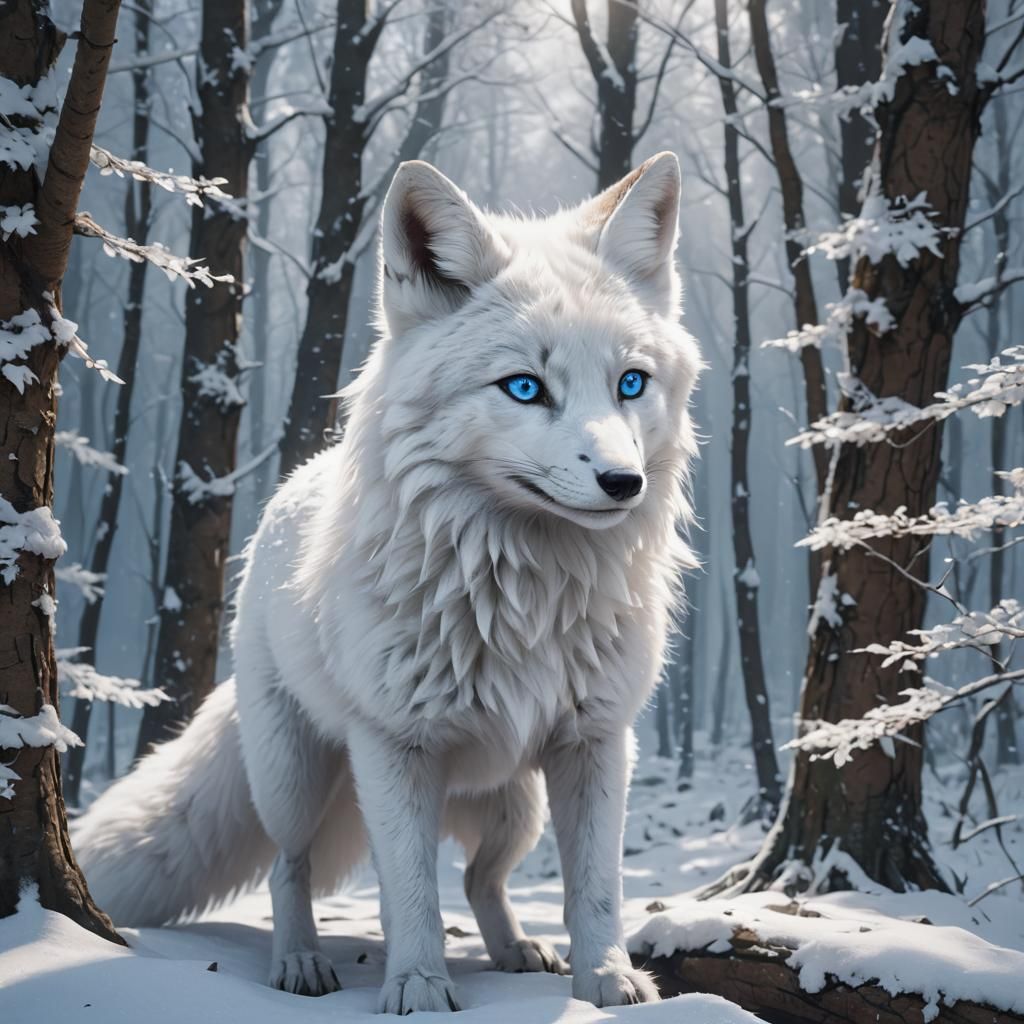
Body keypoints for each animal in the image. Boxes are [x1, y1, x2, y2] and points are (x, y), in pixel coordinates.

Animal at [73, 153, 701, 1013]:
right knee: (289, 868)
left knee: (481, 881)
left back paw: (516, 951)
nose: (623, 482)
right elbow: (407, 893)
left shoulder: (596, 743)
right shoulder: (393, 748)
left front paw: (605, 981)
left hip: (516, 807)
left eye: (631, 384)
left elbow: (597, 888)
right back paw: (299, 963)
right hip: (296, 781)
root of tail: (285, 493)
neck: (524, 600)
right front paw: (418, 988)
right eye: (525, 387)